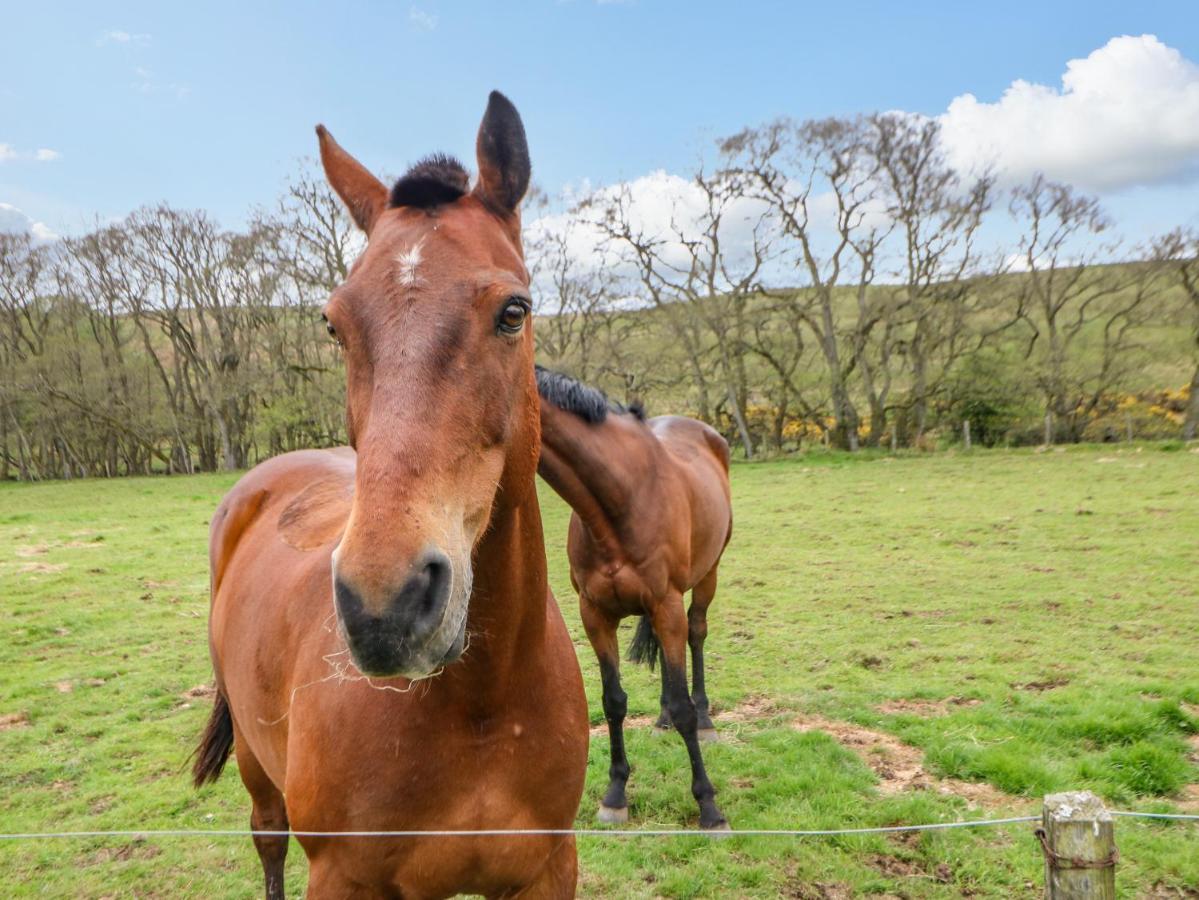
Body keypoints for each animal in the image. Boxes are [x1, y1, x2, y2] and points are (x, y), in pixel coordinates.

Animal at [191, 95, 589, 896]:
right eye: (333, 325)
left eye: (514, 311)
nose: (386, 603)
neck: (483, 708)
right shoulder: (343, 877)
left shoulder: (547, 869)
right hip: (255, 765)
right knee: (267, 838)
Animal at [534, 369, 728, 834]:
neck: (620, 501)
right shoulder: (594, 614)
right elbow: (613, 701)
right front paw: (615, 794)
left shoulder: (667, 606)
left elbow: (683, 705)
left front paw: (708, 806)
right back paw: (660, 719)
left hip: (706, 578)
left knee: (696, 635)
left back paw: (706, 718)